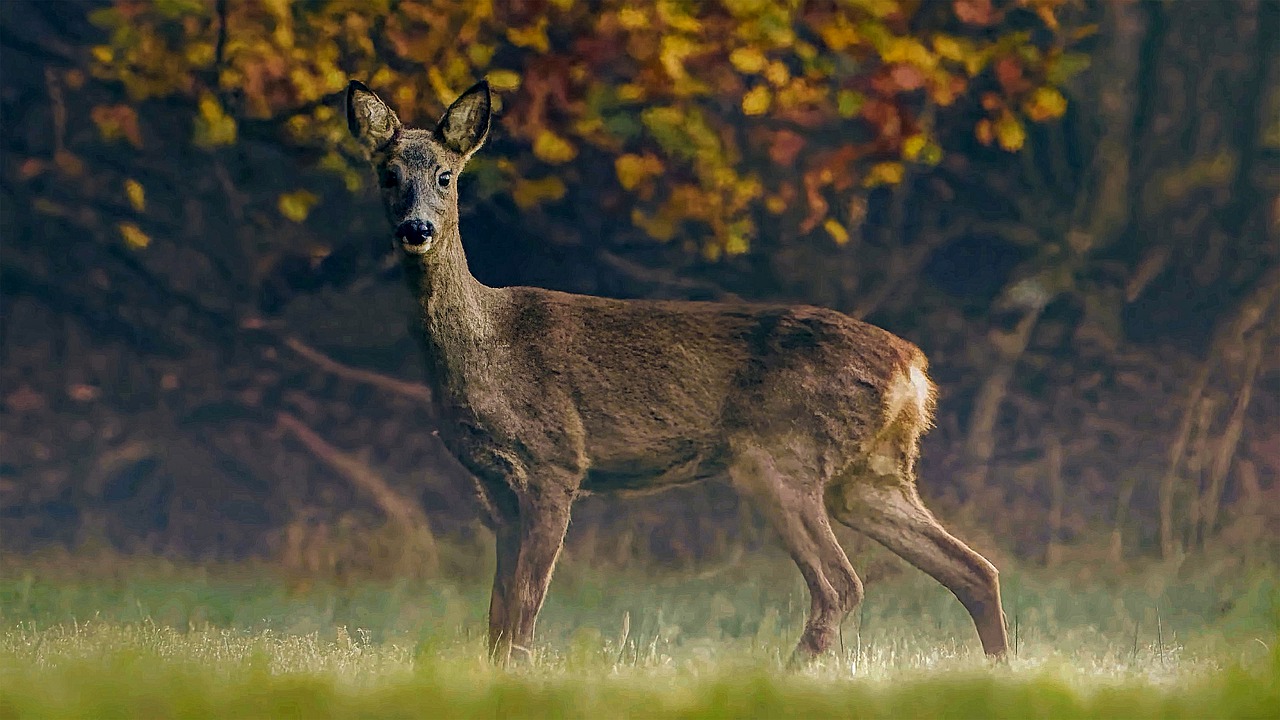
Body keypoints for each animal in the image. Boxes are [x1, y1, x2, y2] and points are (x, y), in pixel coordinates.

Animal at [348, 77, 1008, 661]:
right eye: (388, 174)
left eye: (446, 175)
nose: (416, 228)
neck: (484, 345)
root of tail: (914, 369)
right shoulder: (494, 487)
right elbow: (498, 613)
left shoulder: (554, 462)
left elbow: (525, 608)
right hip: (869, 474)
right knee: (974, 568)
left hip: (783, 456)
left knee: (842, 585)